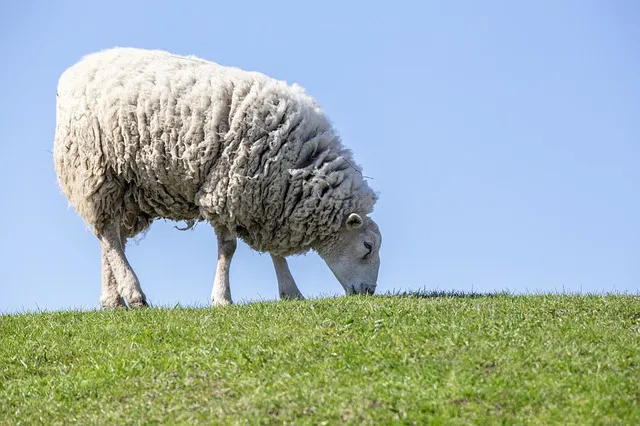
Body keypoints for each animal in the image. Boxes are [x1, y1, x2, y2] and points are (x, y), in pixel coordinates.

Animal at [53, 47, 382, 308]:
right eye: (368, 247)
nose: (368, 292)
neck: (297, 164)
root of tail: (76, 70)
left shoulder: (268, 201)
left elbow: (275, 252)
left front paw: (290, 292)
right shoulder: (228, 190)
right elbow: (228, 248)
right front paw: (222, 297)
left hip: (127, 187)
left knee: (111, 238)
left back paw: (113, 299)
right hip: (96, 169)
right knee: (108, 234)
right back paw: (134, 294)